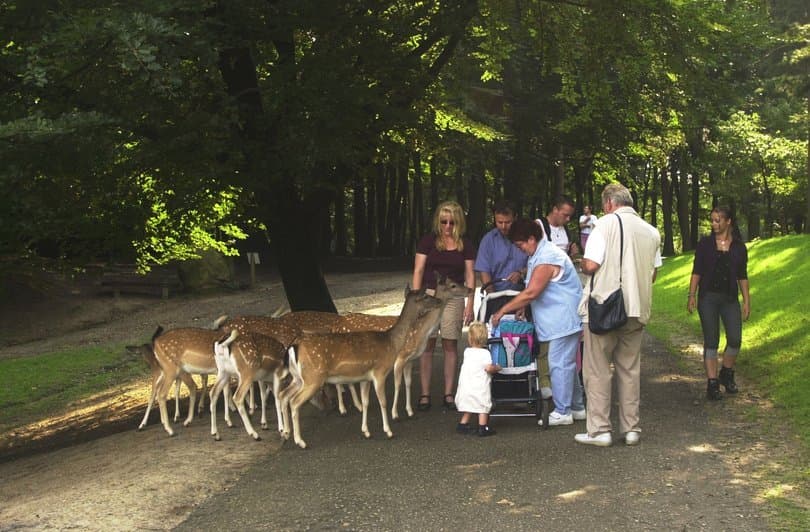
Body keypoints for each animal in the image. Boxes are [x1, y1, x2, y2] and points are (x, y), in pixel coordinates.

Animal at [276, 286, 442, 448]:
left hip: (298, 378)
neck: (391, 342)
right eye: (426, 296)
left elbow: (366, 402)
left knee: (283, 395)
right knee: (294, 402)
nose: (439, 300)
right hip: (313, 378)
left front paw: (366, 432)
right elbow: (383, 401)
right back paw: (300, 441)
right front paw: (389, 431)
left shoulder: (365, 378)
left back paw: (286, 434)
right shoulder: (380, 372)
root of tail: (294, 346)